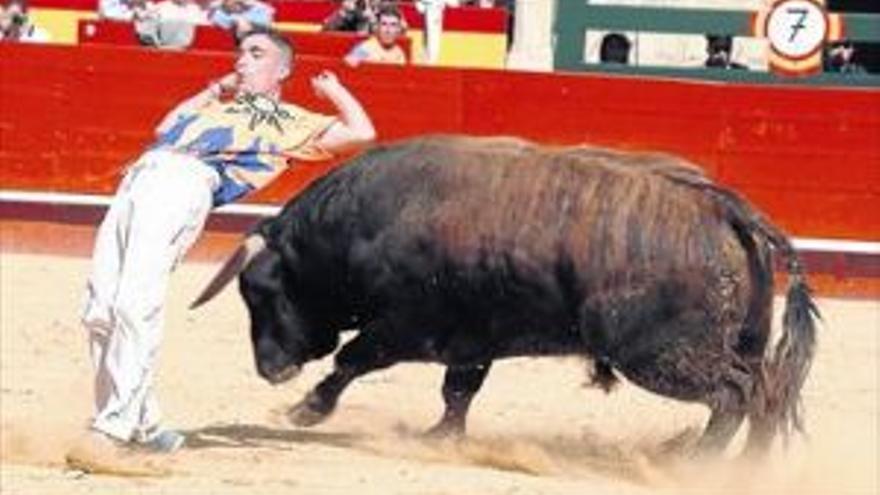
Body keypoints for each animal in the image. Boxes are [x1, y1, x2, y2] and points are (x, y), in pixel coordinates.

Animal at [192, 136, 820, 458]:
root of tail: (726, 207)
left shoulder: (407, 327)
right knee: (765, 391)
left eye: (261, 292)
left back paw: (697, 460)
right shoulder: (475, 338)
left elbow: (353, 359)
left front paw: (307, 409)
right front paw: (441, 438)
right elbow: (458, 391)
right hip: (735, 342)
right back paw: (737, 464)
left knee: (738, 393)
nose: (270, 369)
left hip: (661, 354)